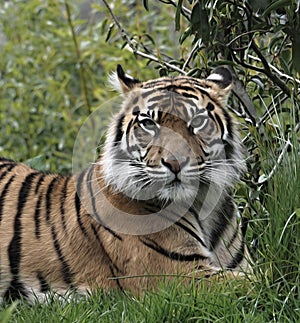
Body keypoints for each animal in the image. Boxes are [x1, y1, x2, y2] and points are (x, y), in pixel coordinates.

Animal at [0, 66, 252, 304]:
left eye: (197, 122)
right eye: (149, 123)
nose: (175, 162)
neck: (202, 203)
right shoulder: (180, 275)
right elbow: (257, 282)